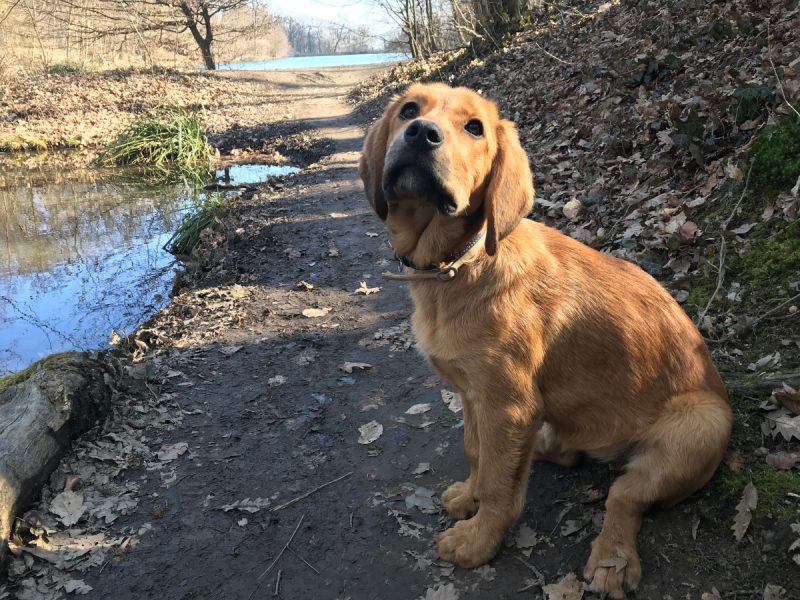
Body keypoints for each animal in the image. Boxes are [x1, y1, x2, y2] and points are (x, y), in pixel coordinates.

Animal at [360, 83, 736, 596]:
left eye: (474, 128)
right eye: (409, 110)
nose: (421, 133)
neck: (458, 265)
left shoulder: (506, 404)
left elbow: (499, 485)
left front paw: (478, 540)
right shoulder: (475, 396)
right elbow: (477, 452)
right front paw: (468, 496)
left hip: (704, 423)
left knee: (624, 495)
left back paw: (612, 559)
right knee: (567, 453)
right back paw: (543, 449)